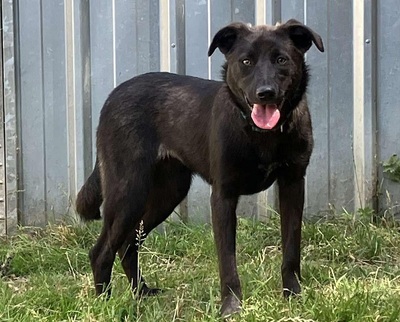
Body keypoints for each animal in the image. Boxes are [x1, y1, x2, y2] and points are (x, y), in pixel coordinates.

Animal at [76, 18, 324, 316]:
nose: (265, 94)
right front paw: (231, 307)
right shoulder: (223, 196)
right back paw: (105, 303)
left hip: (167, 193)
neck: (263, 135)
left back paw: (141, 293)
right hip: (127, 193)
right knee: (101, 251)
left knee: (127, 245)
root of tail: (112, 96)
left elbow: (291, 250)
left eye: (281, 59)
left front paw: (293, 297)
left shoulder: (293, 185)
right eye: (246, 61)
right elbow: (227, 262)